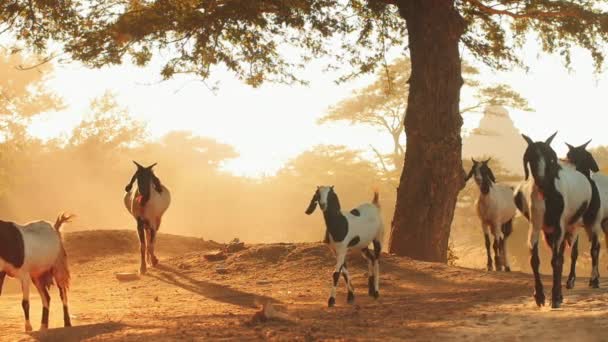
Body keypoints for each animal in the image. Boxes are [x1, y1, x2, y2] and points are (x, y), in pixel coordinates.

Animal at [512, 132, 604, 308]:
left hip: (590, 222)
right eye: (530, 157)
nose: (542, 182)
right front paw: (540, 296)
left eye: (550, 157)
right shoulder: (536, 226)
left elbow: (556, 260)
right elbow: (535, 259)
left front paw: (554, 298)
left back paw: (593, 281)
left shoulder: (560, 227)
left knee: (594, 248)